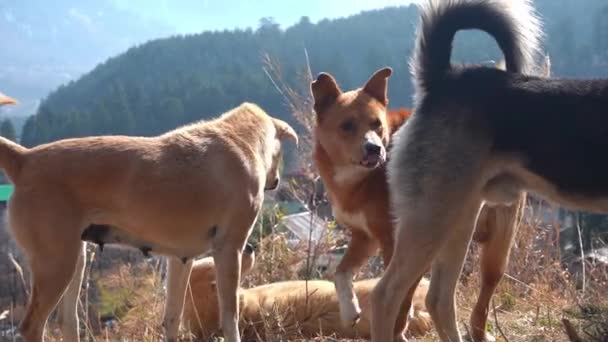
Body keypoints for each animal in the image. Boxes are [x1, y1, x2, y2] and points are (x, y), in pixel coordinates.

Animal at [0, 102, 298, 342]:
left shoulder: (180, 259)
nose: (276, 182)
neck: (240, 138)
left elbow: (172, 318)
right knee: (32, 326)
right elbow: (230, 316)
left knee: (67, 321)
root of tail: (24, 159)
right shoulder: (229, 250)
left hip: (74, 259)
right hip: (56, 264)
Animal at [312, 68, 524, 340]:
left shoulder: (393, 242)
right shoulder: (366, 236)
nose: (374, 149)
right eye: (347, 126)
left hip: (497, 239)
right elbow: (341, 272)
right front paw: (350, 311)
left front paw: (396, 331)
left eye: (376, 124)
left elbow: (401, 303)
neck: (362, 178)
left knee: (485, 291)